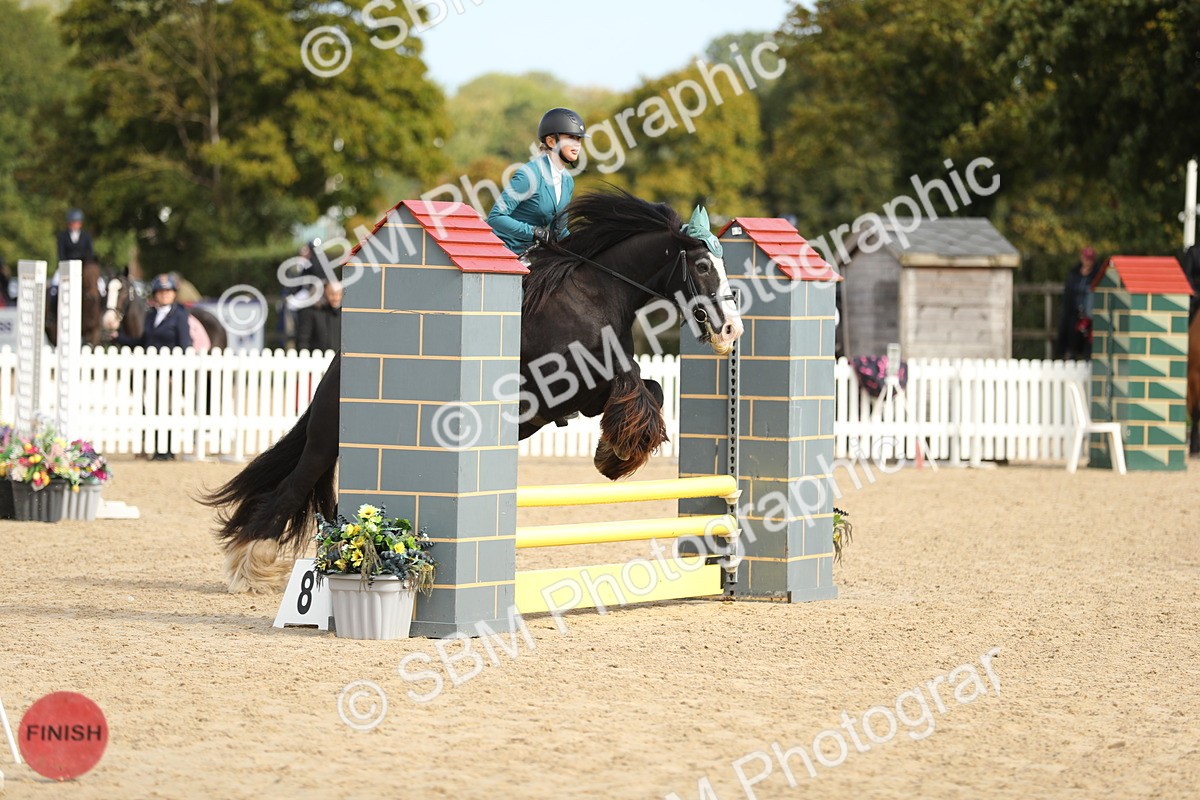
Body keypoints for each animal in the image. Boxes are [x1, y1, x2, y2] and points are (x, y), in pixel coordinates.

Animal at [203, 188, 744, 592]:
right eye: (702, 267)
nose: (731, 331)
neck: (596, 293)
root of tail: (340, 361)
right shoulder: (569, 386)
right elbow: (637, 389)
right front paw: (617, 454)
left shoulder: (593, 391)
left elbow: (648, 387)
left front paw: (613, 454)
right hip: (328, 436)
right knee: (293, 485)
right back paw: (249, 565)